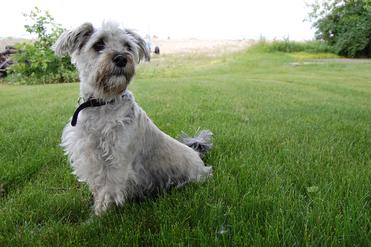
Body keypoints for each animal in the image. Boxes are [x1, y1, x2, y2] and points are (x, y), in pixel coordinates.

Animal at [53, 22, 214, 215]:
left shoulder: (117, 161)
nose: (121, 58)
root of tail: (198, 156)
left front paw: (99, 215)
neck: (103, 103)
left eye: (128, 46)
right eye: (98, 44)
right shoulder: (90, 156)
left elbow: (107, 190)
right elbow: (99, 187)